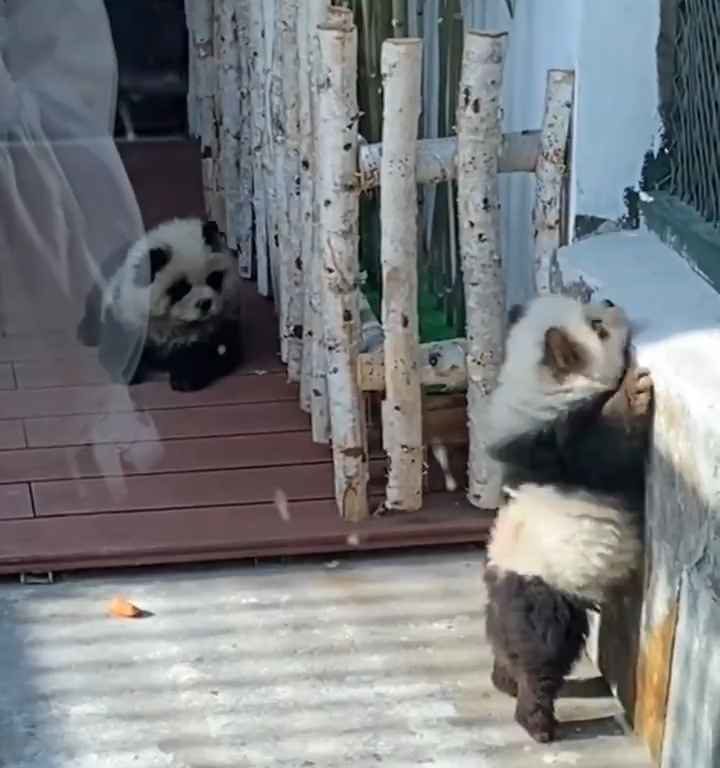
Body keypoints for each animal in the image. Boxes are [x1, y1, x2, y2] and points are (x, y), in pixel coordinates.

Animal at [77, 219, 243, 392]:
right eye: (180, 289)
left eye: (213, 279)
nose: (205, 303)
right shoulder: (126, 311)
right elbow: (118, 344)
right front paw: (127, 372)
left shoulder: (220, 324)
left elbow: (215, 351)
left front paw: (184, 378)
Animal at [480, 292, 656, 736]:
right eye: (597, 327)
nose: (611, 301)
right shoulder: (564, 445)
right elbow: (610, 445)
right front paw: (635, 390)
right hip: (546, 594)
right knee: (542, 656)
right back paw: (537, 721)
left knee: (506, 648)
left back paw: (504, 679)